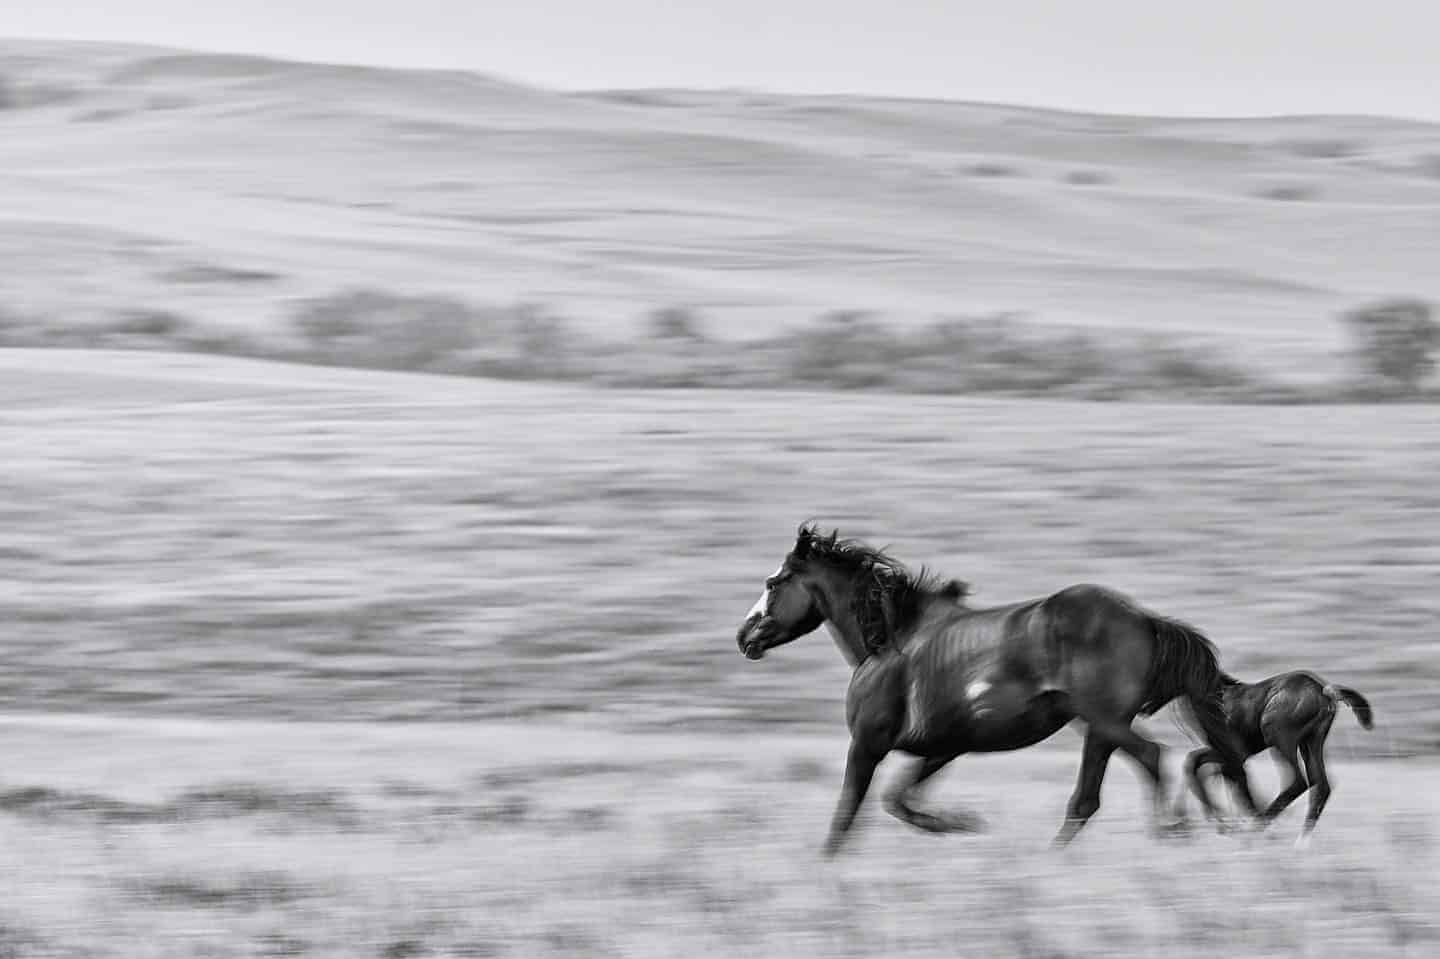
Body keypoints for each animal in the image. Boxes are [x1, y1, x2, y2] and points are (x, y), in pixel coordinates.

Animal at [737, 524, 1255, 852]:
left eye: (773, 582)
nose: (745, 636)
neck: (889, 642)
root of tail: (1144, 620)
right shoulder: (942, 748)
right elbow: (898, 801)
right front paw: (961, 824)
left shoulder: (867, 744)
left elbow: (847, 815)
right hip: (1098, 728)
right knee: (1087, 798)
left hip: (1104, 720)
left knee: (1150, 758)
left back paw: (1173, 831)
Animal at [1180, 668, 1370, 840]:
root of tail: (1323, 691)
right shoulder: (1226, 752)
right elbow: (1195, 762)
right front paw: (1219, 821)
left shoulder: (1236, 753)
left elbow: (1227, 777)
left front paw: (1226, 823)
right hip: (1310, 741)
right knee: (1321, 785)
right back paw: (1299, 842)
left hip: (1279, 737)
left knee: (1298, 782)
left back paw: (1258, 828)